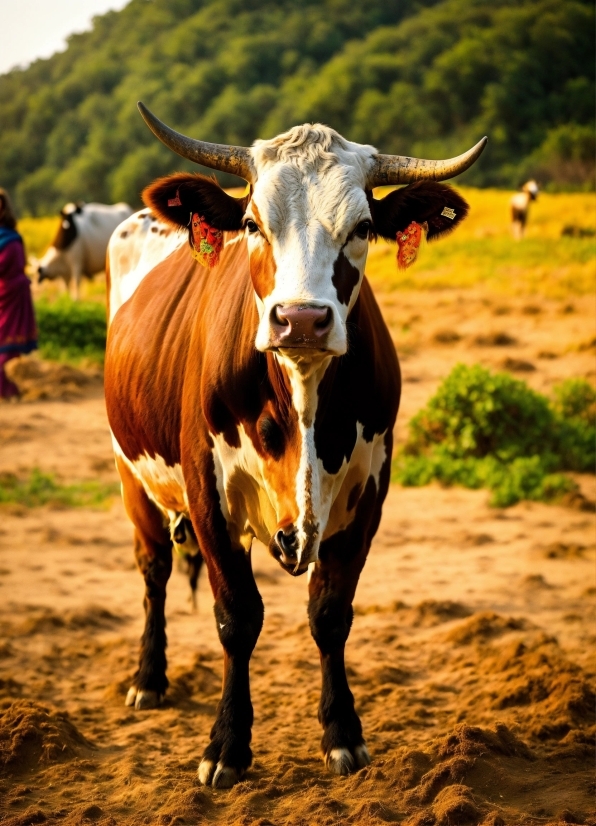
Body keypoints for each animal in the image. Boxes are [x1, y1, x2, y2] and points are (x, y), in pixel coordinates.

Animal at [103, 103, 484, 784]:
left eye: (363, 226)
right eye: (253, 223)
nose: (301, 319)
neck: (302, 402)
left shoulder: (369, 494)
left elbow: (330, 613)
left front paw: (343, 733)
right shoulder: (208, 495)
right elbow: (237, 616)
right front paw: (226, 745)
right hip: (131, 475)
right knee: (154, 570)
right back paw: (149, 677)